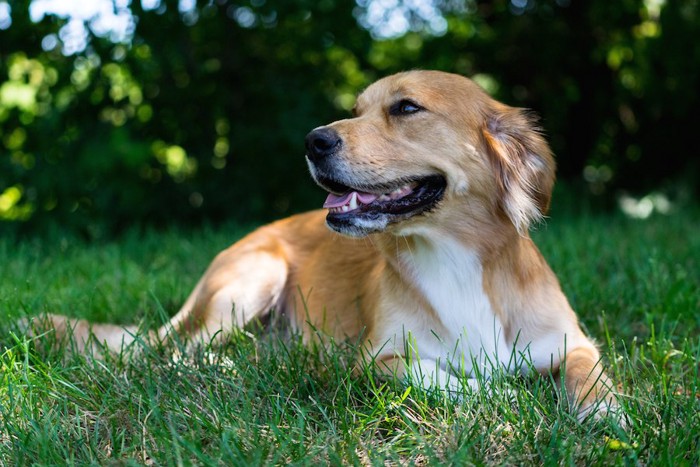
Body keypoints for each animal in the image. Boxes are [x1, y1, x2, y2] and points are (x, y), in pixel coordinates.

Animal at [37, 71, 616, 422]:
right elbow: (445, 375)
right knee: (181, 355)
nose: (313, 141)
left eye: (407, 108)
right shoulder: (379, 360)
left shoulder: (575, 342)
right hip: (254, 277)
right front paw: (505, 395)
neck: (456, 258)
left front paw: (608, 416)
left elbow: (593, 377)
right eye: (356, 109)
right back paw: (232, 365)